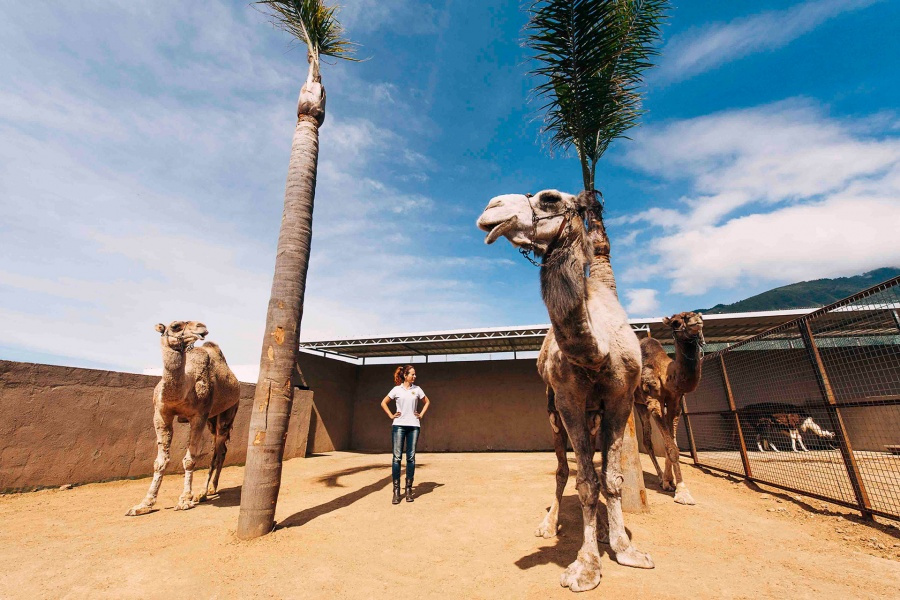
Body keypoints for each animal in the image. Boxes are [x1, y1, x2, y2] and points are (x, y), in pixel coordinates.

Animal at [126, 322, 241, 512]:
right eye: (175, 326)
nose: (201, 327)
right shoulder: (161, 414)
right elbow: (160, 461)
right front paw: (144, 504)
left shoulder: (199, 416)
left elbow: (189, 459)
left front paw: (185, 499)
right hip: (212, 420)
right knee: (221, 449)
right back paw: (209, 489)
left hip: (228, 413)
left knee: (218, 451)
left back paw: (204, 492)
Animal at [478, 191, 652, 592]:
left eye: (550, 198)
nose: (491, 208)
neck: (598, 350)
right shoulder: (568, 400)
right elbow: (584, 482)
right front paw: (586, 566)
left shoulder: (621, 399)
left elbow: (611, 478)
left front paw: (625, 549)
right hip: (553, 413)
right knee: (561, 470)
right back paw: (549, 525)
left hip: (595, 414)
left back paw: (602, 532)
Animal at [636, 312, 708, 504]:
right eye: (676, 322)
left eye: (700, 315)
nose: (696, 321)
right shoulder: (653, 400)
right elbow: (671, 448)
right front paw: (683, 492)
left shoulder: (675, 402)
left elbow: (672, 443)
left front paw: (670, 482)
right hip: (639, 403)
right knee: (646, 440)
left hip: (640, 405)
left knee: (648, 440)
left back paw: (662, 477)